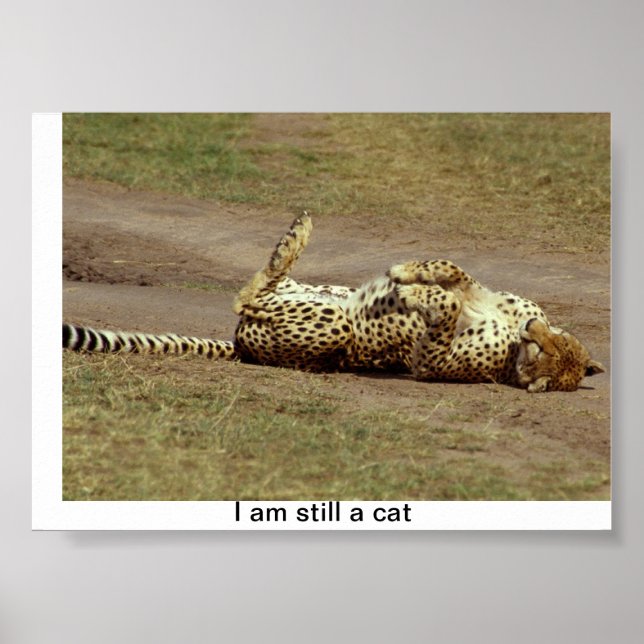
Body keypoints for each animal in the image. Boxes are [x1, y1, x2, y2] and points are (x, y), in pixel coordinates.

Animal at [63, 213, 605, 392]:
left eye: (545, 356)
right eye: (548, 342)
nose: (531, 334)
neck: (513, 350)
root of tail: (241, 346)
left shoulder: (428, 363)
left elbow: (443, 310)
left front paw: (411, 289)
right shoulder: (483, 292)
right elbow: (454, 271)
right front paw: (409, 272)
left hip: (330, 327)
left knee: (246, 297)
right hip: (317, 296)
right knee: (267, 285)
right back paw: (297, 235)